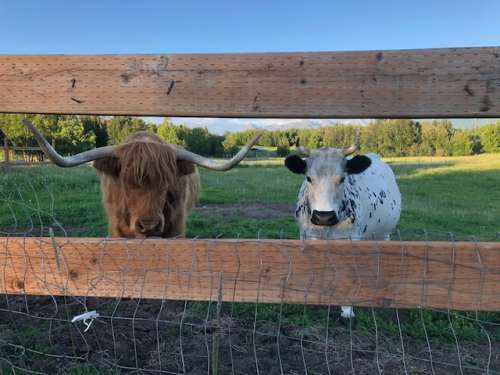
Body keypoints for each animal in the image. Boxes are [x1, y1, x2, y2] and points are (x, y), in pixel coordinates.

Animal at [286, 145, 402, 318]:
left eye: (342, 178)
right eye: (308, 178)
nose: (323, 216)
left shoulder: (350, 239)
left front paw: (347, 309)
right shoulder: (308, 236)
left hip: (384, 234)